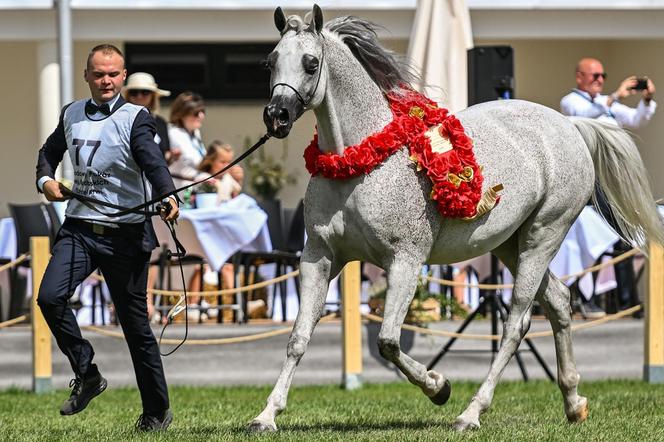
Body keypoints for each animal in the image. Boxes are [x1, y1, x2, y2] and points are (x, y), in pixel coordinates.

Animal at [250, 3, 664, 432]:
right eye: (271, 61)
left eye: (311, 63)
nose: (276, 117)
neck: (358, 165)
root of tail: (571, 125)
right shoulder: (319, 257)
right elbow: (298, 338)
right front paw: (267, 415)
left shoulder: (405, 260)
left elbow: (388, 341)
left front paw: (439, 386)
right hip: (510, 245)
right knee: (559, 301)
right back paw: (573, 401)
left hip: (543, 236)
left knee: (517, 323)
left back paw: (471, 412)